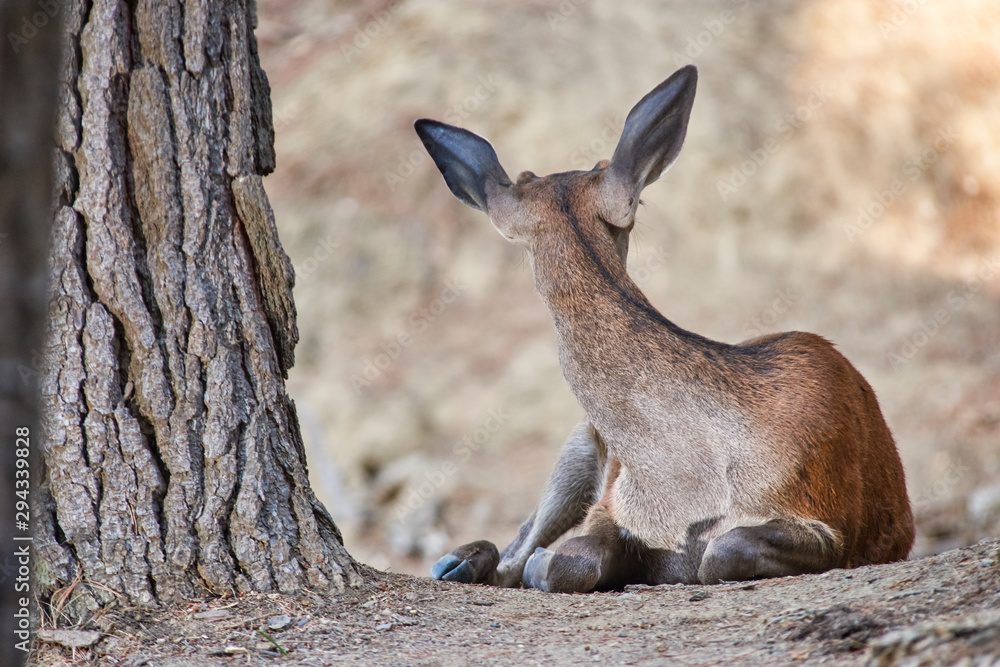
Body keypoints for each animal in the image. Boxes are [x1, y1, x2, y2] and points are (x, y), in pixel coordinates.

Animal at [414, 65, 914, 593]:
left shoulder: (830, 514)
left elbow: (724, 548)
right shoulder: (613, 500)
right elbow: (568, 557)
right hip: (578, 443)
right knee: (518, 546)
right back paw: (457, 561)